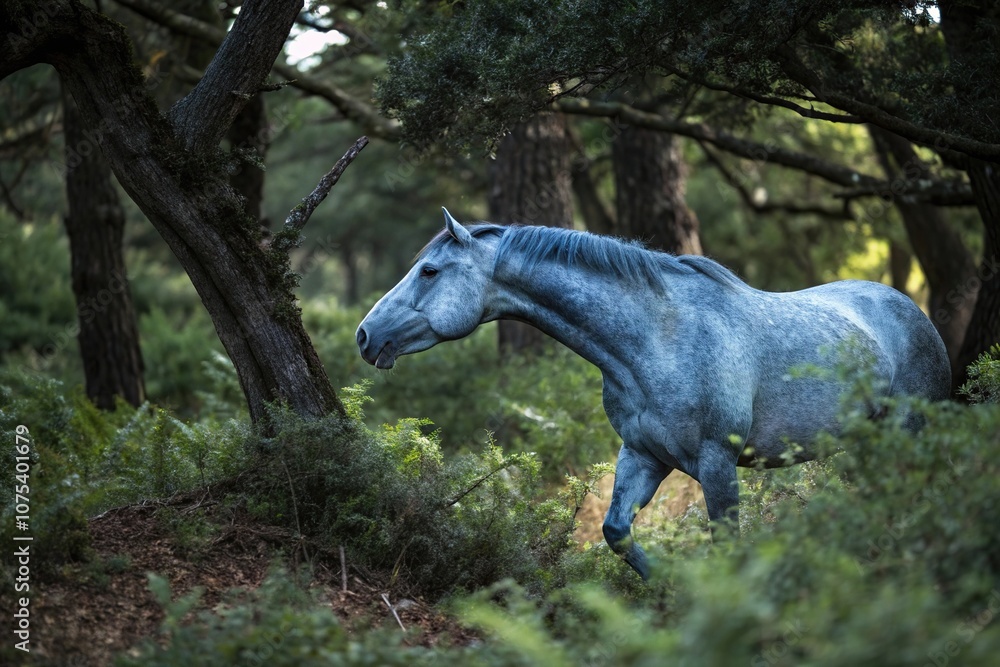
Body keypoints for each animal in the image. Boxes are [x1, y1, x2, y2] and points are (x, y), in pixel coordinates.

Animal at [356, 209, 951, 579]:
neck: (657, 337)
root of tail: (912, 309)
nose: (365, 336)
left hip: (909, 433)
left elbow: (727, 542)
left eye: (429, 270)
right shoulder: (643, 454)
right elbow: (616, 530)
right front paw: (668, 589)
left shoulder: (716, 462)